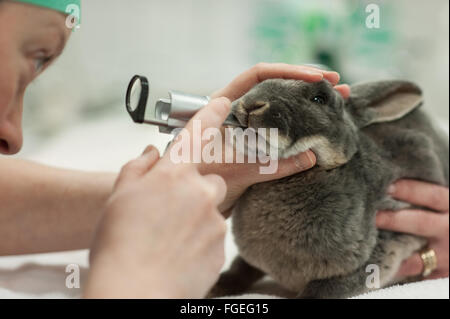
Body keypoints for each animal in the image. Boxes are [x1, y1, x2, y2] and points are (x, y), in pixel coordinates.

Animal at [209, 79, 448, 298]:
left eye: (319, 98)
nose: (250, 104)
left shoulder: (376, 255)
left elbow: (319, 291)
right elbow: (239, 269)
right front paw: (215, 288)